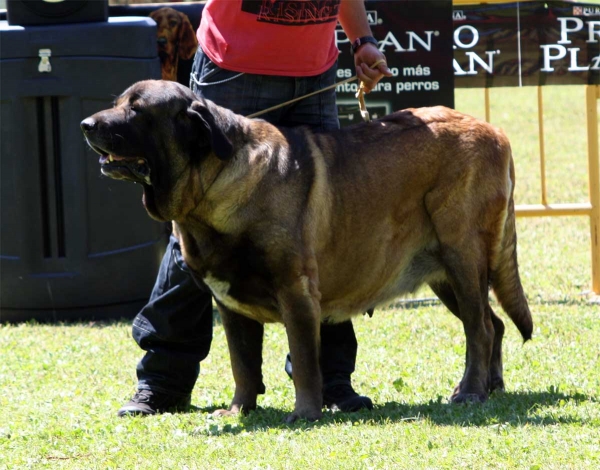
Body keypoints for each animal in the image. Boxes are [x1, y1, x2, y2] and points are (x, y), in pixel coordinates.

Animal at [81, 79, 536, 420]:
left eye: (137, 110)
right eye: (118, 103)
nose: (86, 124)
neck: (213, 183)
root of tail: (496, 132)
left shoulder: (296, 292)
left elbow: (302, 360)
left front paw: (304, 412)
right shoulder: (229, 306)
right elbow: (242, 364)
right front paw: (239, 410)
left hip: (462, 256)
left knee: (479, 327)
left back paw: (471, 392)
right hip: (445, 272)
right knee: (492, 324)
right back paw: (488, 386)